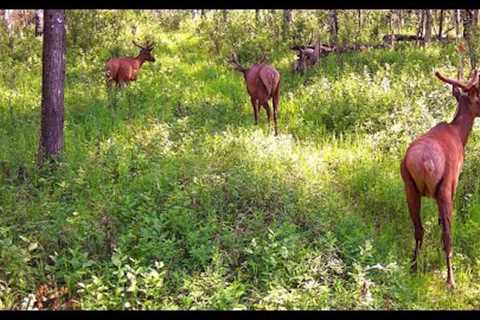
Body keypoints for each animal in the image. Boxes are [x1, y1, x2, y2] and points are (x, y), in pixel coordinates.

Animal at [402, 70, 480, 290]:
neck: (460, 135)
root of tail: (424, 162)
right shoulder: (453, 184)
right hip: (444, 189)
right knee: (447, 235)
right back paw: (450, 281)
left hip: (408, 186)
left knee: (418, 228)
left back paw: (413, 266)